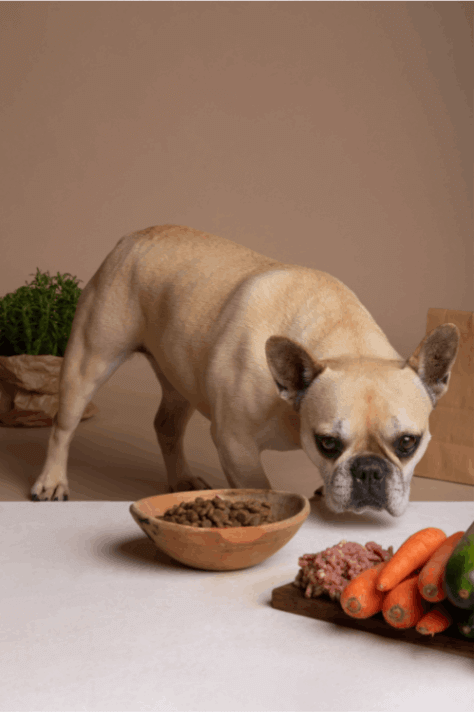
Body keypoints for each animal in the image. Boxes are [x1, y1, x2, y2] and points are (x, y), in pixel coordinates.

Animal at [30, 225, 460, 516]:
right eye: (327, 443)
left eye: (408, 443)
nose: (369, 471)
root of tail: (133, 237)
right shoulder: (235, 443)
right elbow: (259, 486)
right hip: (90, 358)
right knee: (64, 424)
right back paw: (51, 482)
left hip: (181, 378)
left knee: (167, 425)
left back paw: (181, 480)